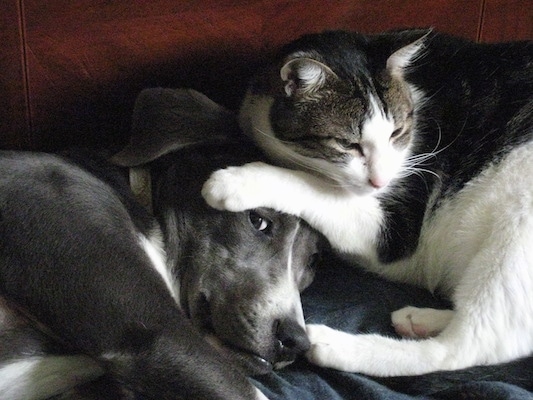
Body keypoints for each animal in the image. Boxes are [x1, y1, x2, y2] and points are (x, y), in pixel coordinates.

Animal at [200, 29, 532, 376]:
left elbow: (311, 185)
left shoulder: (397, 232)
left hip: (518, 225)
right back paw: (423, 319)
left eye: (397, 133)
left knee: (470, 346)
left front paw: (239, 180)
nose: (380, 180)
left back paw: (337, 346)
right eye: (349, 145)